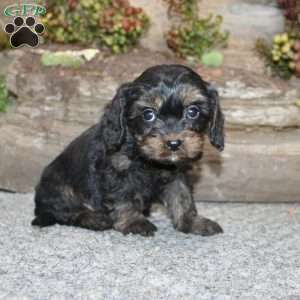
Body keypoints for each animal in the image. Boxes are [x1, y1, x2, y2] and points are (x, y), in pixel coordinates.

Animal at [32, 65, 225, 237]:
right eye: (148, 114)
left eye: (193, 111)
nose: (174, 143)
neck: (144, 155)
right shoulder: (116, 172)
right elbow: (123, 198)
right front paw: (134, 222)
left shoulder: (178, 175)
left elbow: (183, 198)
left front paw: (192, 222)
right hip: (59, 188)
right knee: (66, 211)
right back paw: (94, 219)